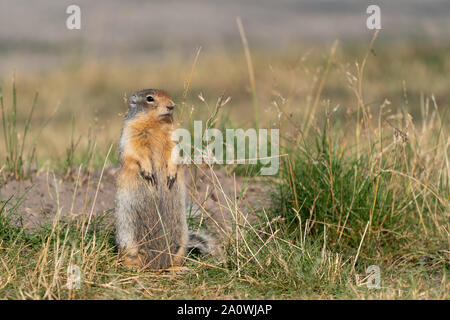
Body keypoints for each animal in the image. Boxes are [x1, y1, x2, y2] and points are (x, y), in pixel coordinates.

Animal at [116, 88, 214, 270]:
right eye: (150, 98)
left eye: (169, 95)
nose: (171, 105)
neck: (156, 124)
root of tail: (155, 265)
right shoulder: (131, 132)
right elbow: (135, 151)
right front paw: (148, 172)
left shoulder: (172, 136)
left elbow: (174, 152)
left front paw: (171, 174)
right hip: (128, 240)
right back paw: (133, 268)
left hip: (181, 239)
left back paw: (179, 268)